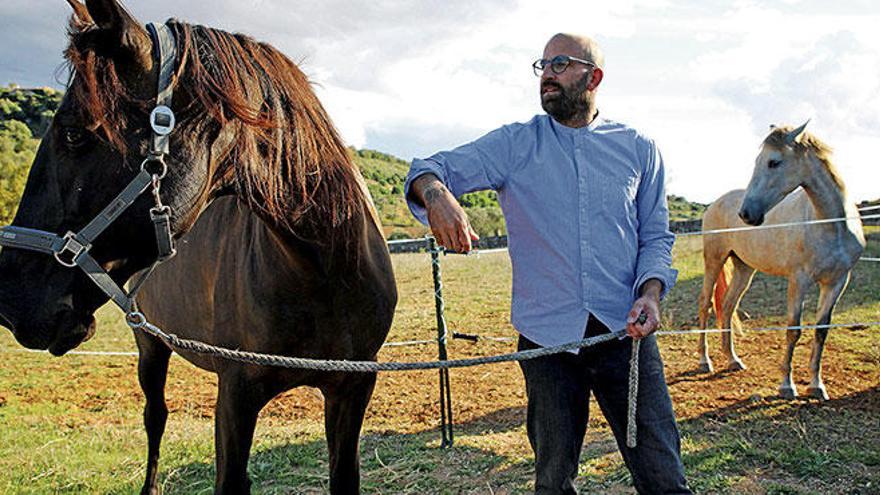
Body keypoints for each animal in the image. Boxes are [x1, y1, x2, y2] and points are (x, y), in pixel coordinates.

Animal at [0, 1, 396, 494]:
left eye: (73, 133)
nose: (10, 302)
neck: (322, 270)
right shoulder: (237, 393)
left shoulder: (352, 390)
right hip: (150, 348)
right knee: (155, 417)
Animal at [696, 122, 868, 402]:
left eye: (773, 162)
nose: (746, 214)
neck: (831, 225)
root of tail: (715, 204)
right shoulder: (799, 280)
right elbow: (793, 330)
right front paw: (787, 386)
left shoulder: (837, 282)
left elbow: (821, 330)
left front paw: (817, 386)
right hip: (714, 260)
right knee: (705, 304)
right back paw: (704, 361)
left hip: (744, 268)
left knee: (729, 306)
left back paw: (732, 360)